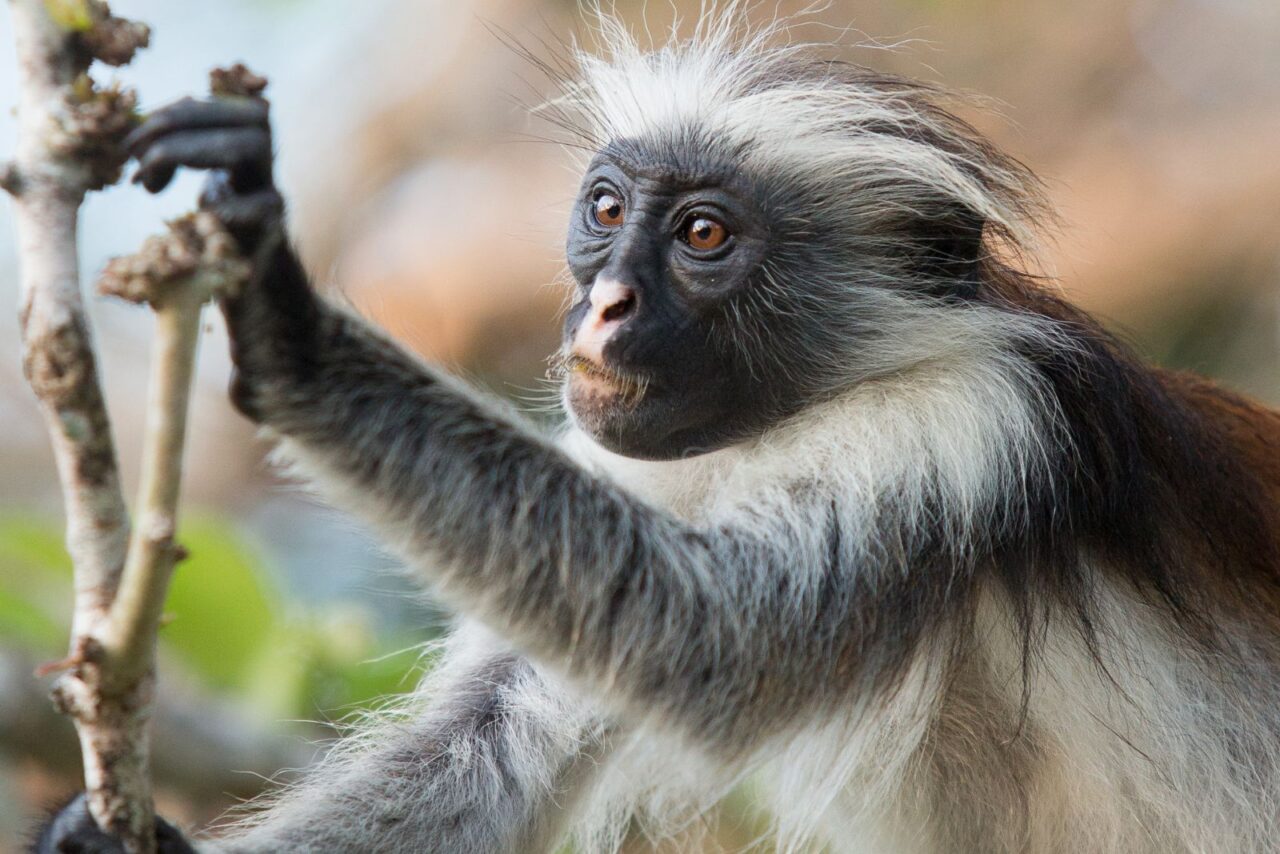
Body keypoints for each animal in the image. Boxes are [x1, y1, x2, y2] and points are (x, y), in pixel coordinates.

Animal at [37, 11, 1280, 854]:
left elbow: (705, 636)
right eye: (604, 211)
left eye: (701, 235)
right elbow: (491, 748)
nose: (604, 304)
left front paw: (276, 306)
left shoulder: (970, 429)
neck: (791, 416)